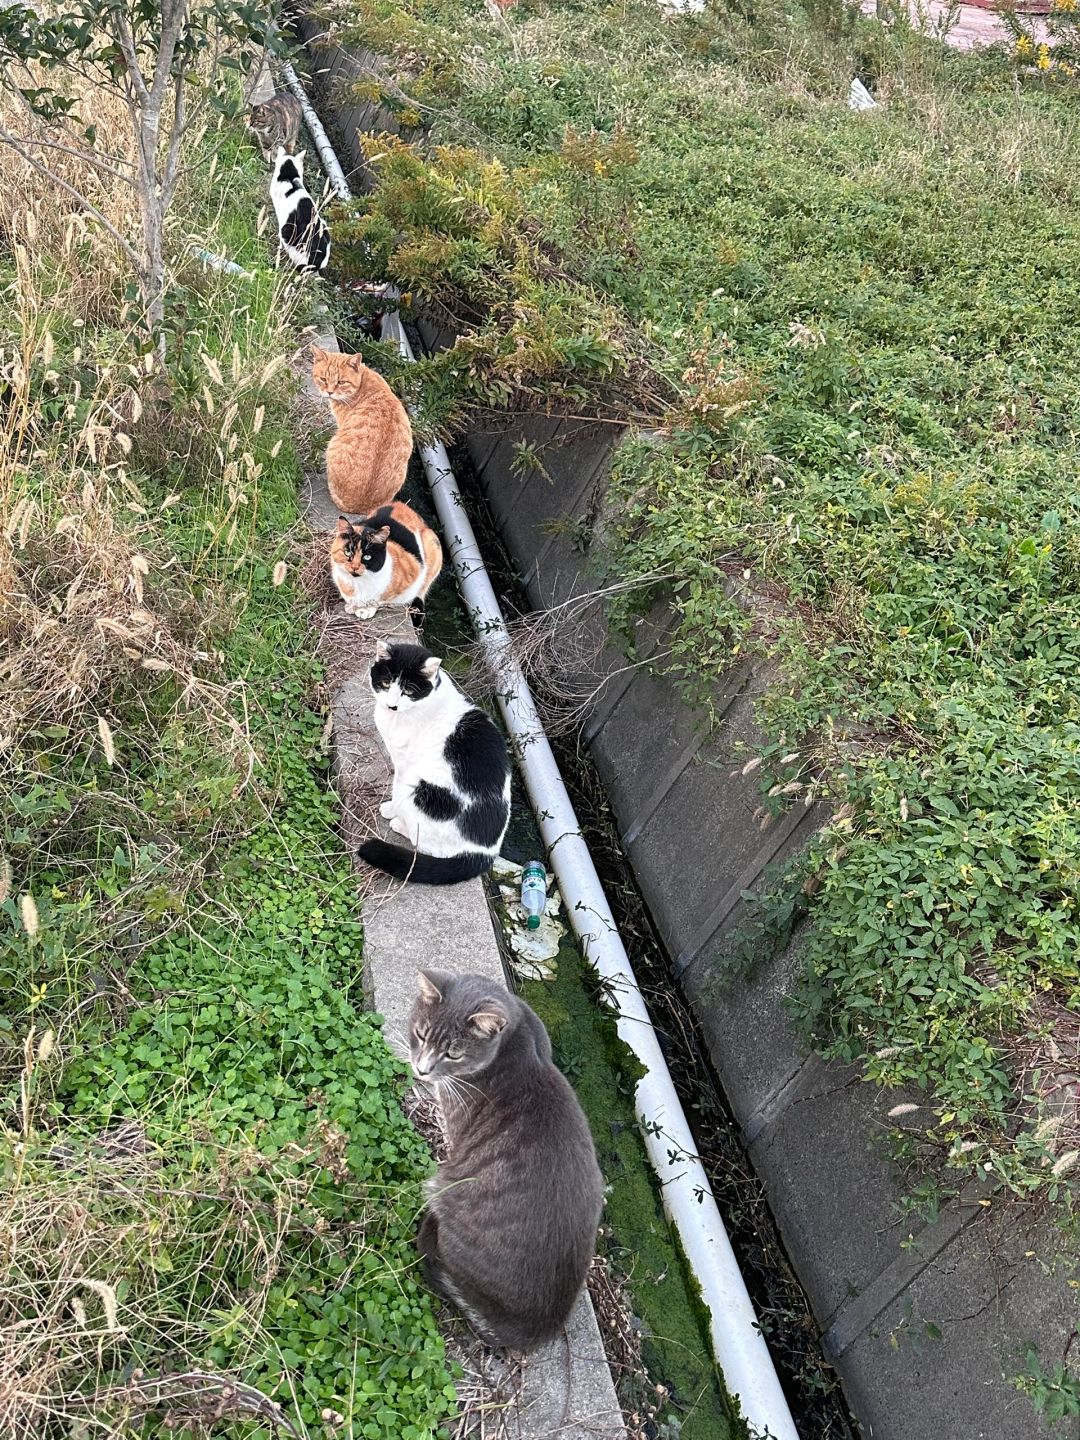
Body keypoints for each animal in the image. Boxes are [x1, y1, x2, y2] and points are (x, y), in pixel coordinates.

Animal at [315, 347, 417, 518]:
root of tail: (357, 507)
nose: (329, 392)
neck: (363, 382)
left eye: (341, 382)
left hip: (332, 446)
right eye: (323, 379)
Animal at [360, 645, 512, 887]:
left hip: (420, 789)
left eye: (408, 690)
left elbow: (395, 789)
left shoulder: (404, 764)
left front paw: (390, 809)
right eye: (385, 683)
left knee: (425, 844)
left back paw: (399, 824)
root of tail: (485, 853)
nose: (391, 705)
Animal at [408, 967, 604, 1347]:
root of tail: (534, 1326)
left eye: (453, 1054)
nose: (422, 1070)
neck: (515, 1036)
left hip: (448, 1196)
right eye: (420, 1034)